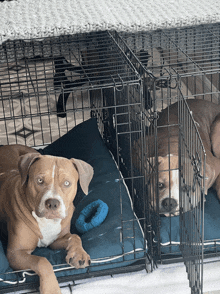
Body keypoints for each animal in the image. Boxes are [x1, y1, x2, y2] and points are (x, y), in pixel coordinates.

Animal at [0, 144, 93, 292]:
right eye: (39, 180)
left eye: (67, 183)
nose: (53, 203)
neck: (47, 221)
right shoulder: (15, 253)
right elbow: (41, 261)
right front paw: (51, 289)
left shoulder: (56, 240)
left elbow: (75, 236)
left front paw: (79, 254)